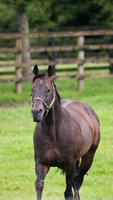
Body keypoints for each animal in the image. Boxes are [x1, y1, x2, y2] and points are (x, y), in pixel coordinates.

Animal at [30, 65, 100, 200]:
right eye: (32, 89)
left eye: (48, 90)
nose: (36, 112)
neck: (53, 133)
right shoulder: (41, 163)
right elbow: (39, 186)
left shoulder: (70, 165)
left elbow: (68, 192)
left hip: (88, 157)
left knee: (77, 183)